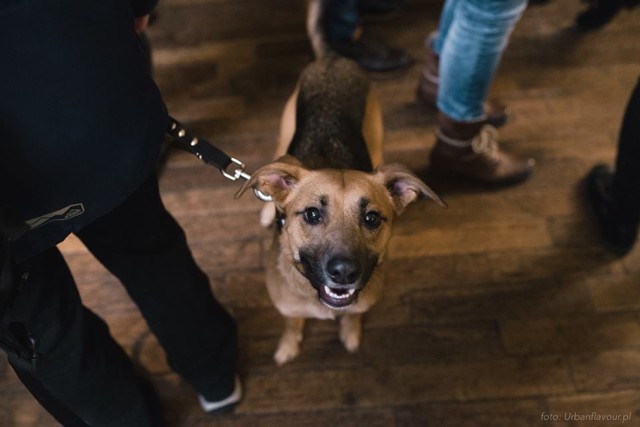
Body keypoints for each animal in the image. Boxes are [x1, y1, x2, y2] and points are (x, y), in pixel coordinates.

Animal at [238, 56, 442, 364]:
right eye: (312, 214)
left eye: (372, 218)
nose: (345, 273)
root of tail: (333, 58)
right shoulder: (288, 307)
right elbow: (292, 324)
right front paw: (288, 347)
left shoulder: (360, 303)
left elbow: (352, 316)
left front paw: (350, 335)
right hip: (285, 136)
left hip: (375, 139)